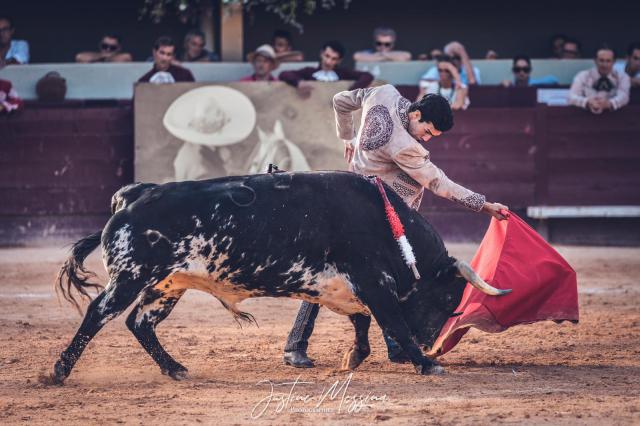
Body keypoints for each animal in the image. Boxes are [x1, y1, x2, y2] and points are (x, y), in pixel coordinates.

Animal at [51, 171, 510, 384]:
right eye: (447, 299)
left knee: (140, 322)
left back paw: (176, 368)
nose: (431, 343)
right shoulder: (374, 284)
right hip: (131, 276)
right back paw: (58, 371)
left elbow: (361, 321)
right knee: (99, 313)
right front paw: (426, 363)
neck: (385, 222)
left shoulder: (347, 288)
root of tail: (133, 194)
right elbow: (389, 321)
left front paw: (355, 356)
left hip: (168, 284)